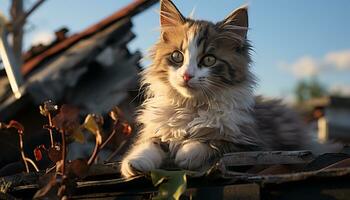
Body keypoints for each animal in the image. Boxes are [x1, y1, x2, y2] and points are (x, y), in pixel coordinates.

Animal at [120, 0, 340, 178]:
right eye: (177, 56)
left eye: (209, 60)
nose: (187, 75)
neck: (192, 106)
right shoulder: (157, 130)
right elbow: (149, 144)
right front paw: (133, 163)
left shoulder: (251, 143)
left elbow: (213, 143)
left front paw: (186, 152)